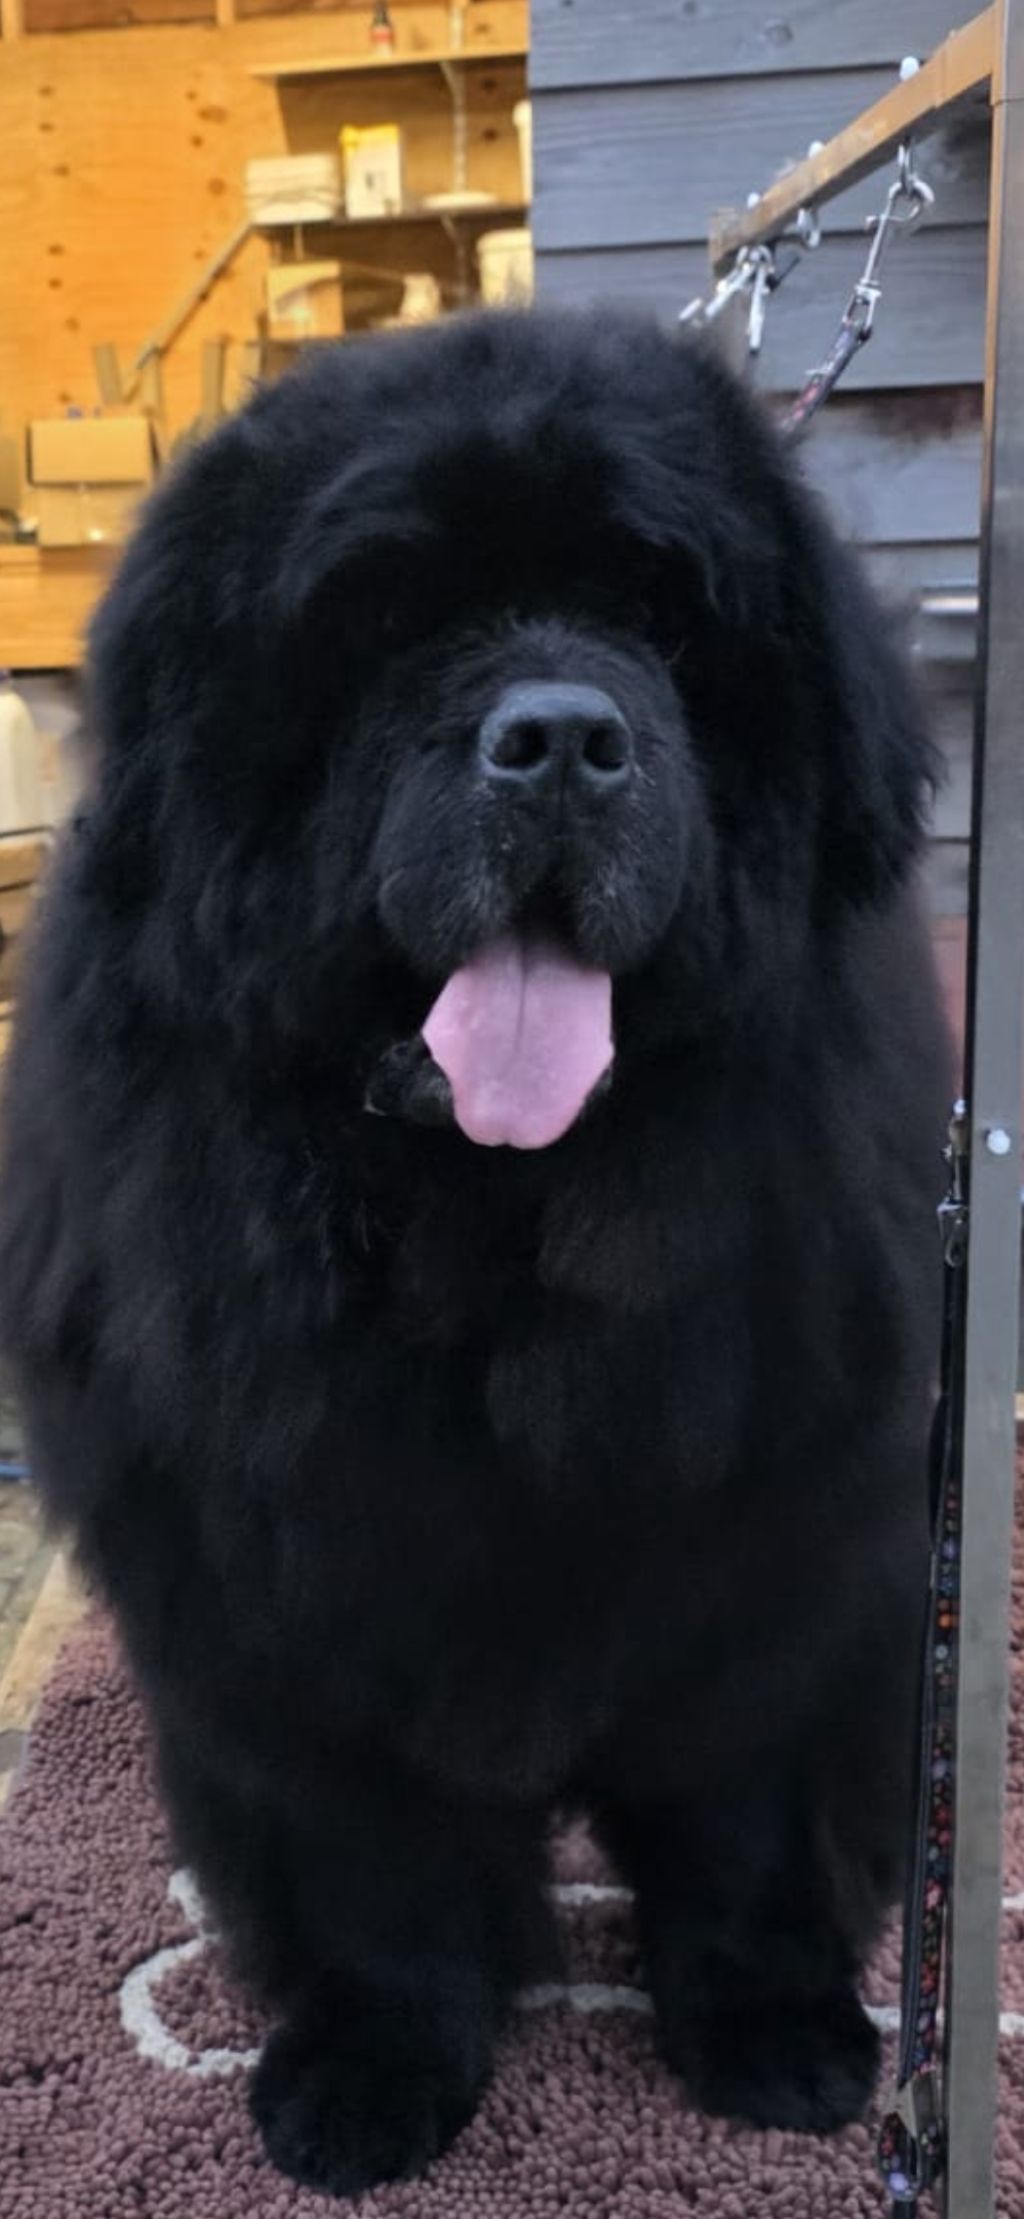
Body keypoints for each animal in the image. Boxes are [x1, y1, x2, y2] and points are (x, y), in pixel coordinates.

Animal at [0, 310, 950, 2195]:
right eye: (382, 623)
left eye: (661, 614)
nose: (561, 736)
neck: (490, 1224)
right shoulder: (296, 1575)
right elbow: (368, 1859)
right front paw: (373, 2068)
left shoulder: (776, 1540)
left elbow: (743, 1810)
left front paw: (769, 2028)